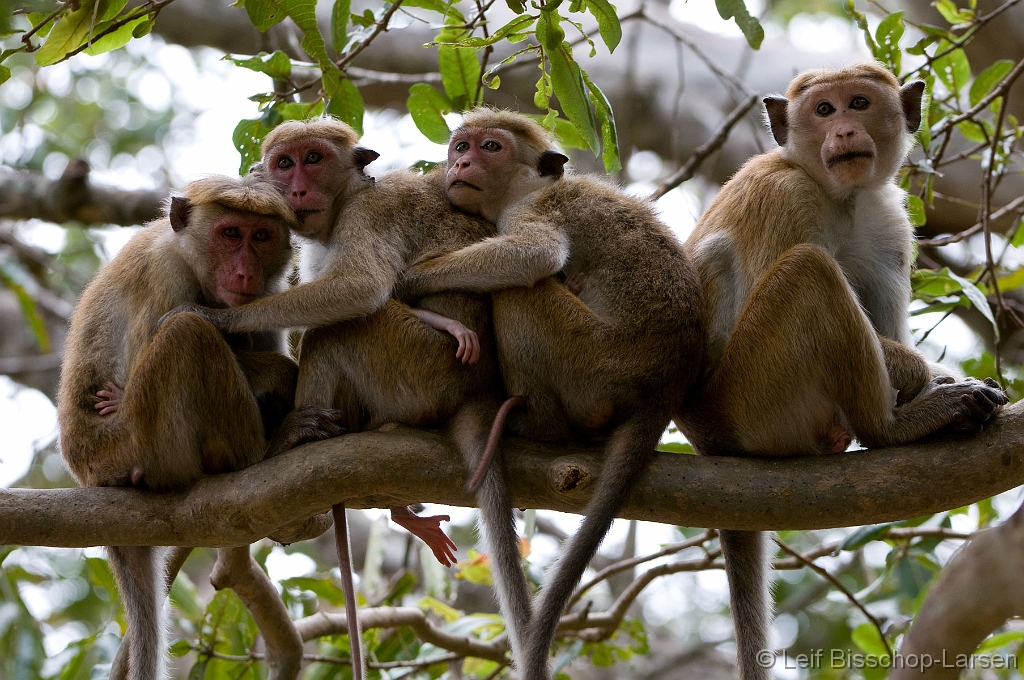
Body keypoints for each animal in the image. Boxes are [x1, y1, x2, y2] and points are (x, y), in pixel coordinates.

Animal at [57, 174, 344, 680]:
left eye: (260, 236)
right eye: (230, 234)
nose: (245, 273)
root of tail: (86, 474)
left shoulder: (265, 293)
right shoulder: (162, 274)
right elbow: (146, 358)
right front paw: (279, 377)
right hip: (130, 442)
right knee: (185, 335)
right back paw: (264, 450)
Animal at [395, 109, 708, 675]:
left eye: (490, 147)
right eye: (460, 146)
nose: (461, 163)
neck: (529, 188)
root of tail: (664, 386)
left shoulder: (534, 211)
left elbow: (533, 255)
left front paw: (410, 280)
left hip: (593, 361)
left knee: (521, 292)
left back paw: (533, 422)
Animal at [671, 61, 1007, 675]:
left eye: (859, 103)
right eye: (824, 110)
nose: (845, 130)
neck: (839, 196)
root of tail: (707, 438)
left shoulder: (889, 221)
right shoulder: (784, 196)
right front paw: (930, 379)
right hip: (753, 396)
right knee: (807, 271)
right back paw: (892, 427)